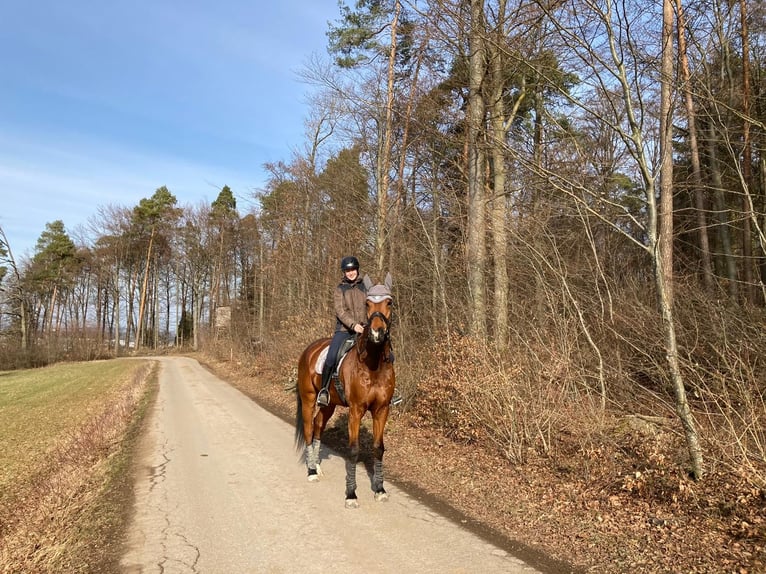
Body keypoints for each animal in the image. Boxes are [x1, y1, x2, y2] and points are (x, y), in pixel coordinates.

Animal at [296, 274, 396, 508]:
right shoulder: (356, 411)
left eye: (389, 302)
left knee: (318, 425)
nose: (377, 333)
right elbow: (354, 450)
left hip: (329, 404)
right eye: (367, 304)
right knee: (308, 428)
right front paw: (351, 494)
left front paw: (380, 489)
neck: (373, 365)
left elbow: (378, 448)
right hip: (308, 399)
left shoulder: (382, 410)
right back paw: (311, 471)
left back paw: (317, 466)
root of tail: (309, 350)